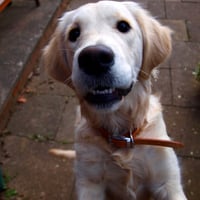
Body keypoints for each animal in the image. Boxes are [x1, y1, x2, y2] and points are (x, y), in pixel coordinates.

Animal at [42, 0, 188, 199]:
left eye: (123, 26)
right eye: (74, 33)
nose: (94, 58)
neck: (122, 136)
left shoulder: (167, 180)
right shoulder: (89, 182)